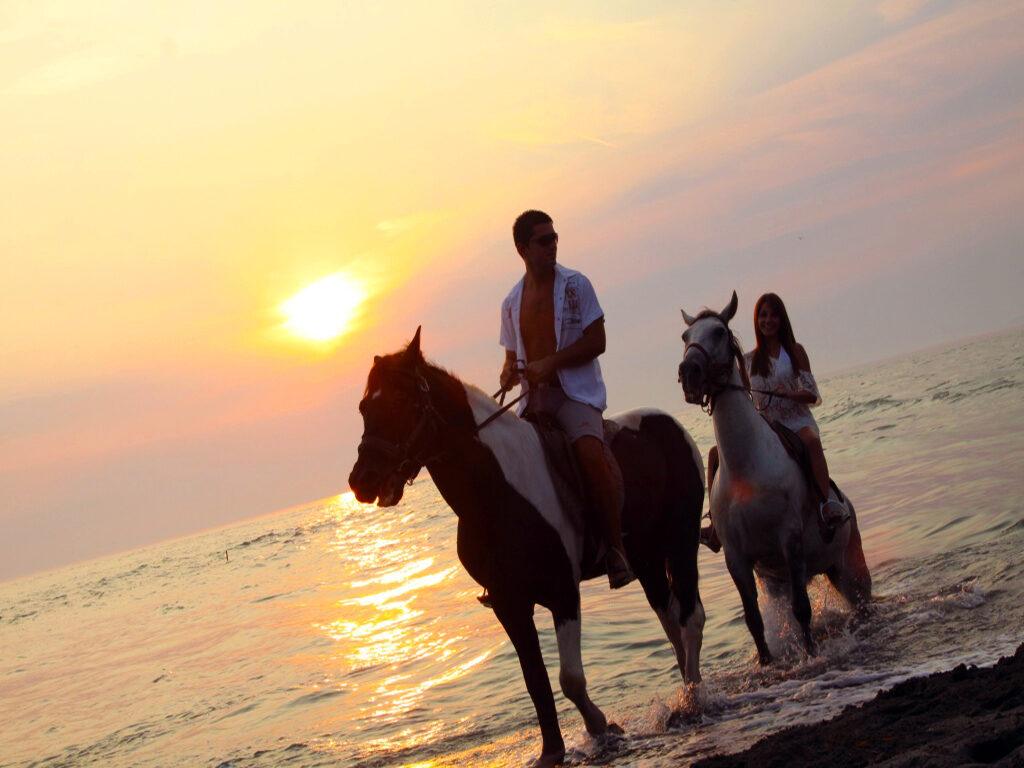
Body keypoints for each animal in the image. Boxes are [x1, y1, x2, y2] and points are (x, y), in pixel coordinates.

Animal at [348, 331, 708, 768]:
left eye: (401, 402)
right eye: (365, 407)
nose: (362, 481)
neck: (496, 493)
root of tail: (669, 423)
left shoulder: (562, 593)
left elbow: (570, 679)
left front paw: (601, 725)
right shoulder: (509, 603)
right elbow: (535, 680)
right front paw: (552, 751)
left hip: (681, 537)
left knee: (690, 618)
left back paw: (694, 700)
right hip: (648, 556)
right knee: (670, 620)